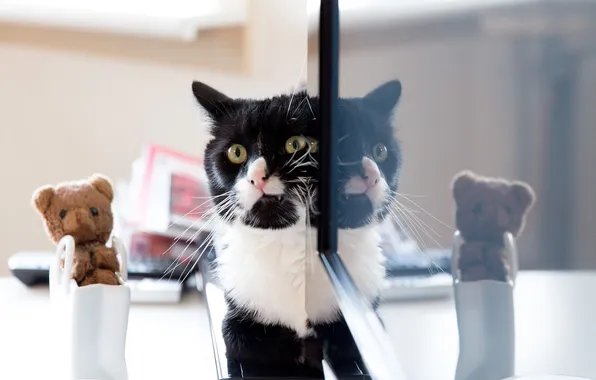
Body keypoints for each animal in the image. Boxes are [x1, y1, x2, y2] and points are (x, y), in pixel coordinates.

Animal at [193, 79, 402, 368]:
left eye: (379, 151)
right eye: (236, 152)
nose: (257, 176)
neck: (293, 247)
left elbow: (347, 346)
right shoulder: (240, 311)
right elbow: (247, 343)